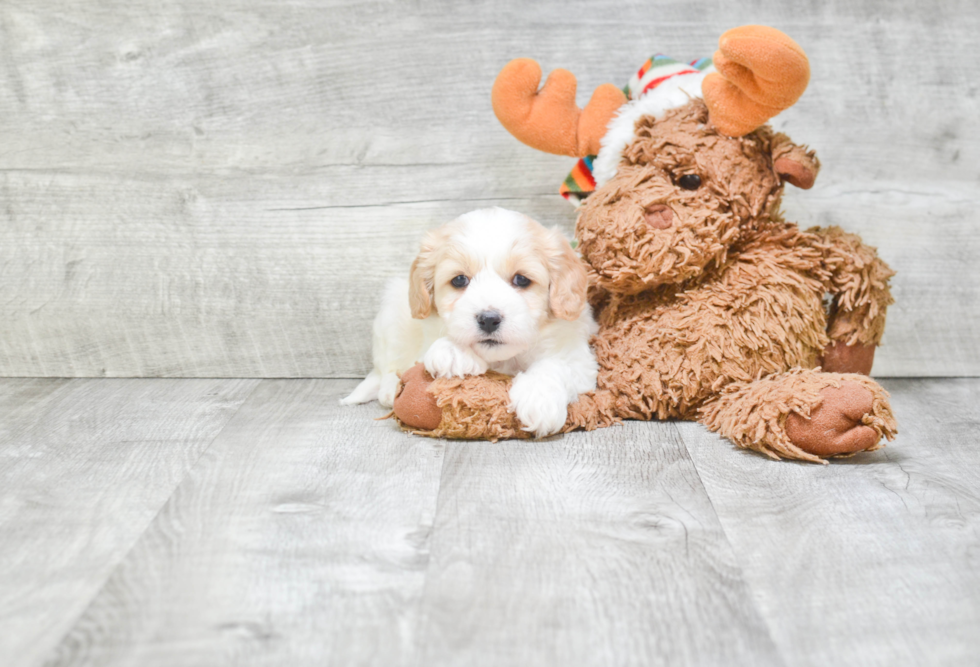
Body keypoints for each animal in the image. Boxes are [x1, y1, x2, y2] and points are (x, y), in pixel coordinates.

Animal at [340, 209, 600, 438]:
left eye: (521, 279)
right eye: (459, 280)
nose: (489, 319)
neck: (504, 360)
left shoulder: (581, 362)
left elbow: (558, 365)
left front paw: (538, 397)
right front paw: (453, 351)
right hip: (391, 314)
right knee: (386, 367)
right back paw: (388, 390)